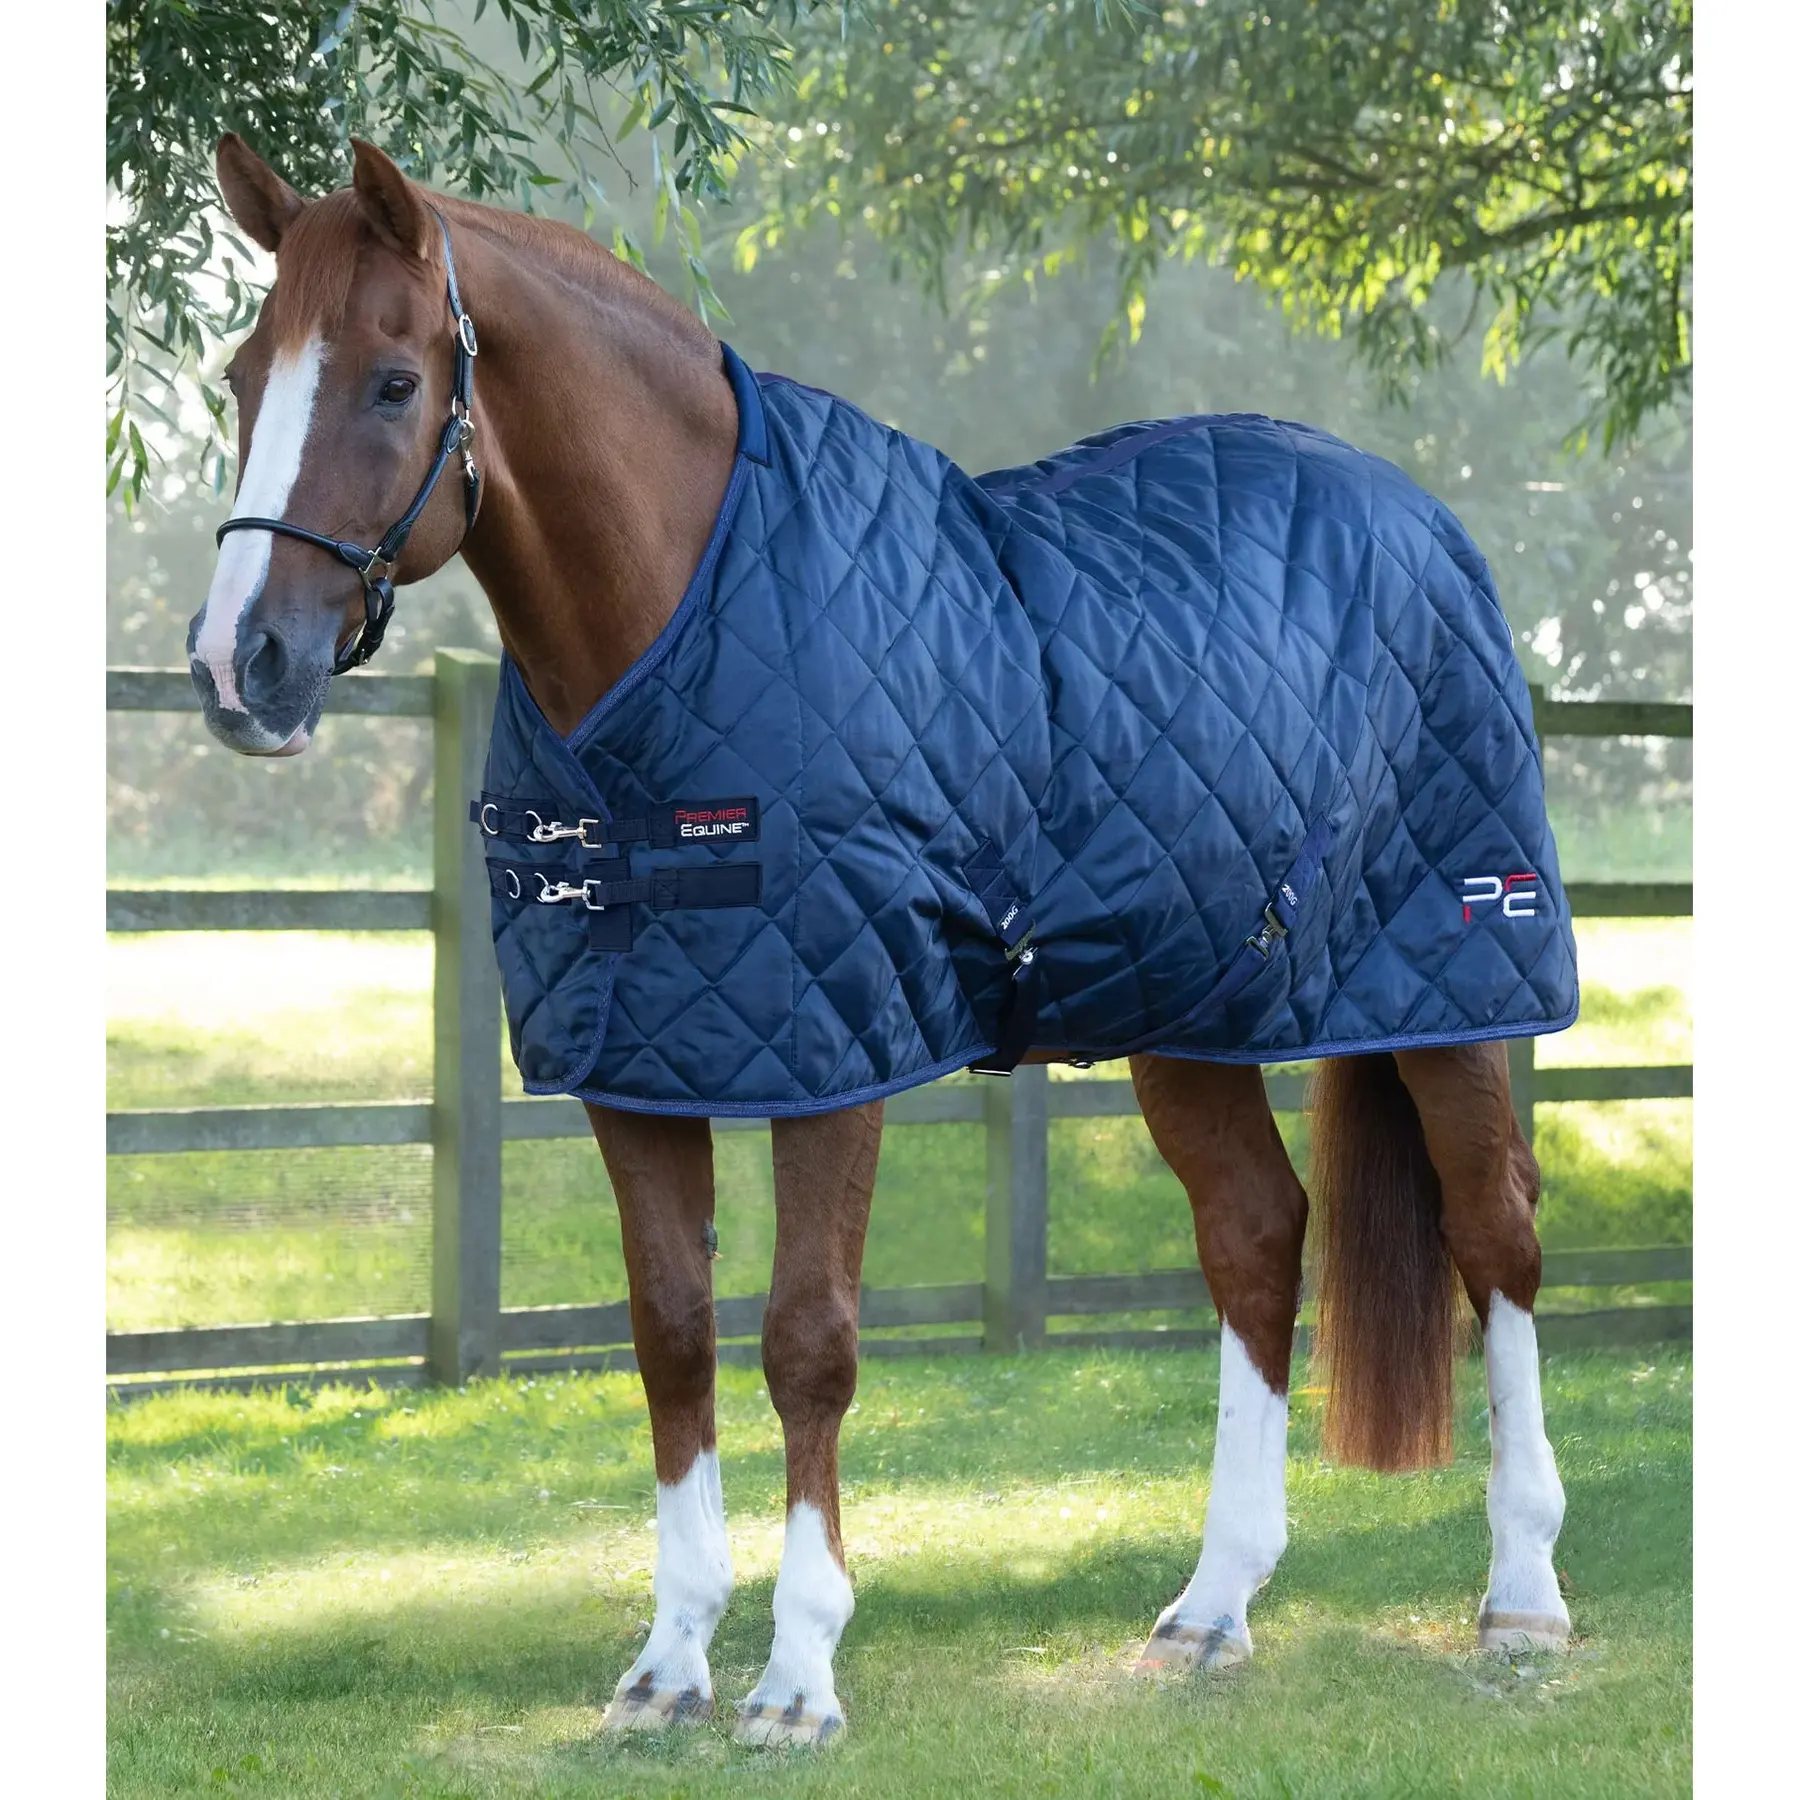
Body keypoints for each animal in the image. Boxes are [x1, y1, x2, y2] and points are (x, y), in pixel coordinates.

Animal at [188, 133, 1573, 1746]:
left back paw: (1523, 1598)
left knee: (1494, 1231)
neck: (681, 628)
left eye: (394, 382)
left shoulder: (836, 1049)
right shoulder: (635, 1065)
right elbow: (670, 1333)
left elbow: (808, 1341)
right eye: (242, 375)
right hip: (1185, 1010)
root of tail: (1418, 517)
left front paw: (798, 1675)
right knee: (1254, 1235)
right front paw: (667, 1664)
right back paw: (1212, 1607)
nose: (239, 665)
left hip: (1457, 977)